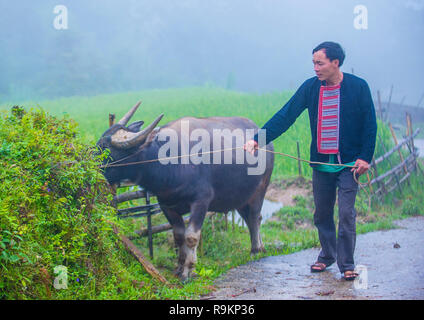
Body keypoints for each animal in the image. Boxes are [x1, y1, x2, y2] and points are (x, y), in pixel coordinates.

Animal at [97, 102, 274, 280]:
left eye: (105, 148)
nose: (92, 164)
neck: (171, 160)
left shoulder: (201, 201)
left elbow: (191, 237)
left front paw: (188, 270)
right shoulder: (166, 206)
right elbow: (178, 236)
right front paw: (179, 267)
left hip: (260, 189)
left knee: (254, 217)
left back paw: (255, 250)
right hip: (240, 197)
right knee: (251, 218)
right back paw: (261, 247)